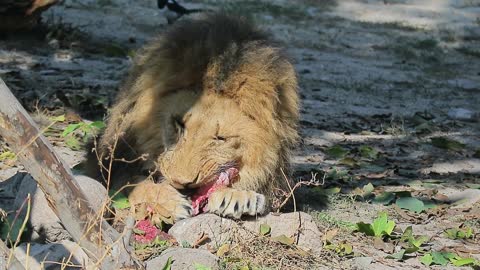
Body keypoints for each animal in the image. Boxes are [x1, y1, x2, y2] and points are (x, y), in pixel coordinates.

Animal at [84, 13, 298, 221]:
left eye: (220, 138)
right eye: (178, 124)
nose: (183, 183)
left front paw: (238, 197)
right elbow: (135, 184)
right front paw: (169, 202)